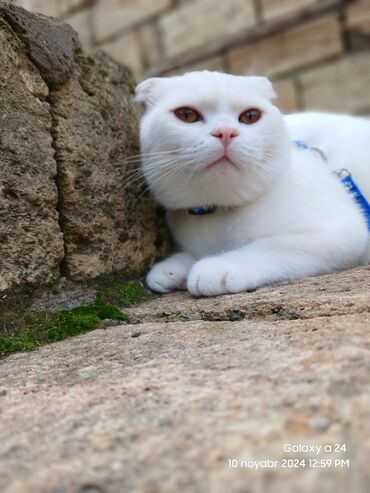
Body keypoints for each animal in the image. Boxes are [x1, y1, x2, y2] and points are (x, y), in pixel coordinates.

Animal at [136, 70, 370, 294]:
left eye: (250, 116)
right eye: (187, 114)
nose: (226, 132)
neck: (216, 212)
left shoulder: (342, 230)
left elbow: (271, 246)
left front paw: (218, 267)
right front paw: (173, 268)